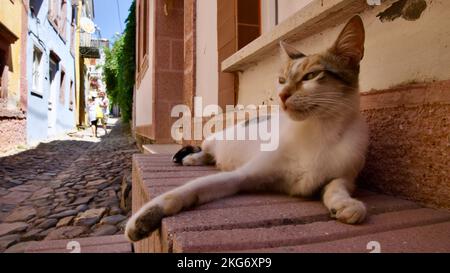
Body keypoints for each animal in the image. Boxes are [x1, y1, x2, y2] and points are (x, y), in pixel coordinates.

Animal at [125, 15, 370, 240]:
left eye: (311, 75)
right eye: (281, 80)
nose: (282, 95)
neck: (317, 130)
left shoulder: (345, 175)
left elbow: (337, 186)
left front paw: (346, 204)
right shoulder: (242, 176)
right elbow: (188, 189)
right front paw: (144, 218)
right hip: (216, 139)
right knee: (205, 150)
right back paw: (193, 158)